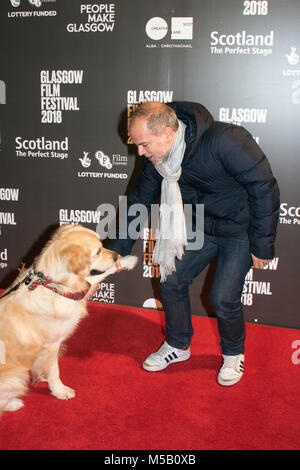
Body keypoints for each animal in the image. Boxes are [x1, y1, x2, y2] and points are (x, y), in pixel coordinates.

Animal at [0, 226, 138, 414]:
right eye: (97, 251)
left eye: (102, 245)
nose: (116, 256)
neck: (51, 285)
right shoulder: (52, 345)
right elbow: (54, 371)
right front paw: (59, 390)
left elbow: (94, 278)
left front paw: (126, 261)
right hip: (16, 374)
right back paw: (13, 403)